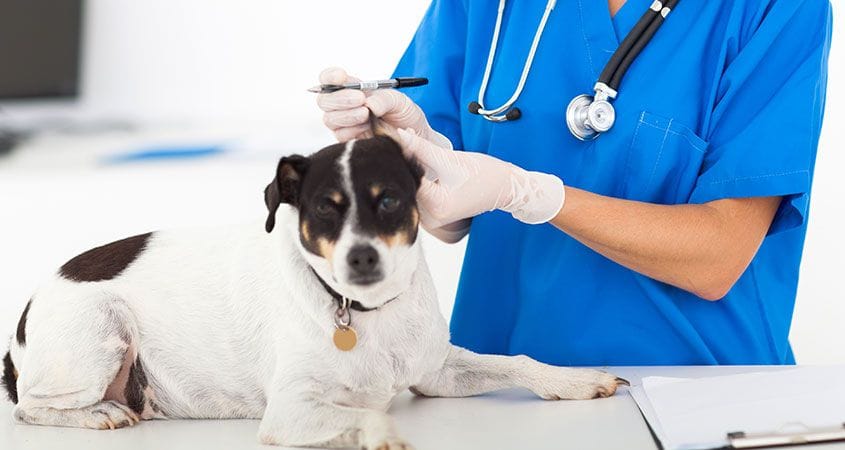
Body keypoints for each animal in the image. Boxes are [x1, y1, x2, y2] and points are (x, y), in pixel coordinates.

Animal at [1, 132, 628, 448]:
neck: (364, 313)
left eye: (389, 200)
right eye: (324, 209)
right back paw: (97, 416)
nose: (361, 256)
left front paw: (574, 380)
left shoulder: (435, 374)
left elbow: (518, 361)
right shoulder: (292, 411)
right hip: (101, 329)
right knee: (30, 408)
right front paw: (382, 434)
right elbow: (370, 418)